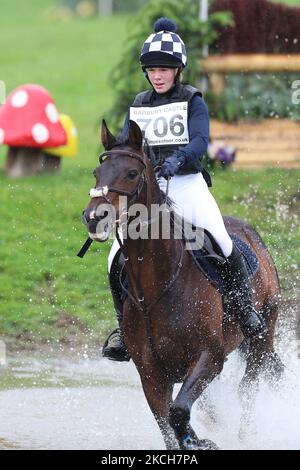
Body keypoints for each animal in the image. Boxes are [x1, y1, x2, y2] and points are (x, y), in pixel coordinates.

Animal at [82, 119, 284, 450]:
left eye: (132, 173)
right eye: (96, 173)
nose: (93, 217)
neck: (157, 286)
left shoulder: (209, 357)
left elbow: (178, 413)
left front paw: (198, 441)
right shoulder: (151, 374)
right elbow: (168, 423)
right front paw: (193, 439)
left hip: (262, 334)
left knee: (248, 386)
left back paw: (244, 435)